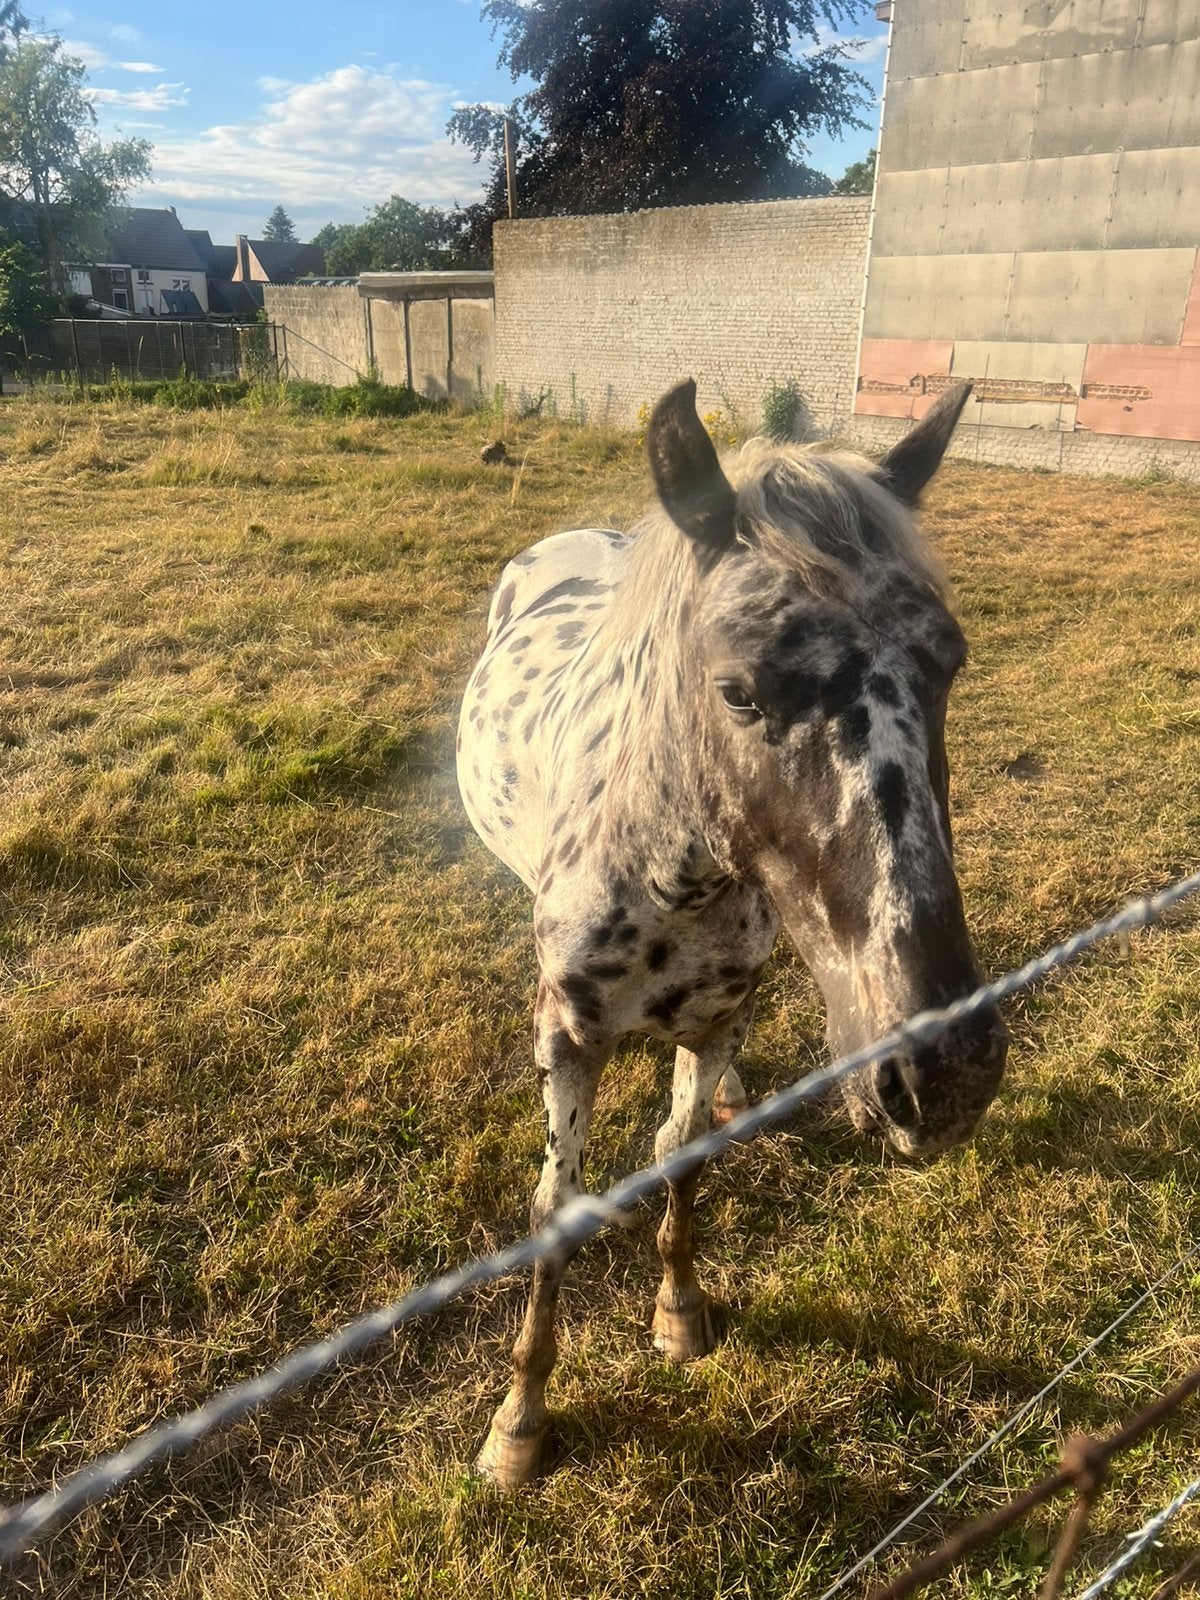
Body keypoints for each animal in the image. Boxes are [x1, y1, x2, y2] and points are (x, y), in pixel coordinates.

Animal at [456, 378, 1008, 1488]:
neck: (669, 876)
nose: (946, 1071)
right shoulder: (569, 1039)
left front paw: (680, 1314)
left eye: (949, 663)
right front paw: (519, 1421)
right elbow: (554, 1209)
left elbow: (681, 1155)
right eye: (739, 690)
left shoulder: (717, 1020)